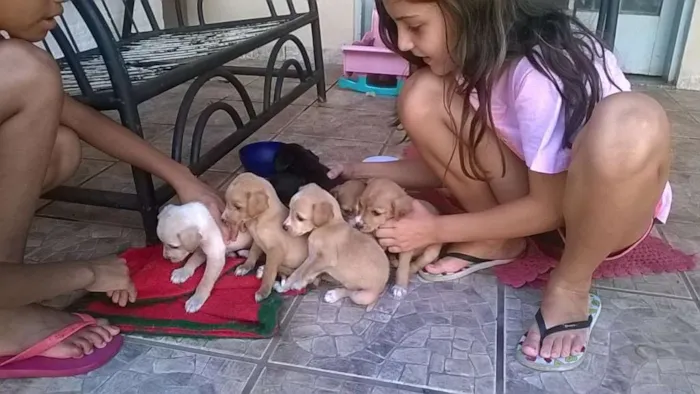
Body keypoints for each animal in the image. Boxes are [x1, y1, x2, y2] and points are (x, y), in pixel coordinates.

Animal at [219, 172, 306, 302]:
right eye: (227, 202)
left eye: (238, 207)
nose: (223, 219)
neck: (258, 222)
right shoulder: (257, 241)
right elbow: (253, 254)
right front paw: (245, 266)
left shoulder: (276, 251)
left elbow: (269, 272)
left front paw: (263, 291)